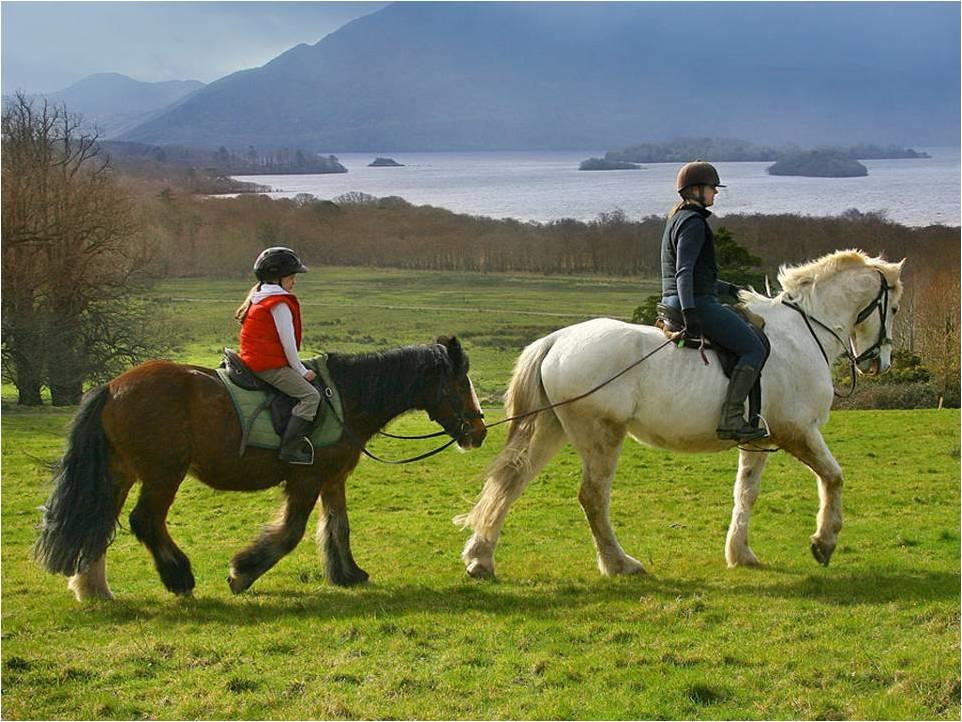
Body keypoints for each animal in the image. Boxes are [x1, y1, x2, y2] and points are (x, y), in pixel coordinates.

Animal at [33, 334, 484, 600]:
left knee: (98, 522)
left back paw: (93, 589)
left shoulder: (332, 478)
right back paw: (179, 578)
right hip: (163, 474)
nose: (478, 432)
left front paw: (347, 573)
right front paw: (242, 572)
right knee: (145, 521)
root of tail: (112, 387)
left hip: (120, 473)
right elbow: (290, 532)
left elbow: (338, 526)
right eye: (459, 384)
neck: (344, 398)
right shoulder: (306, 479)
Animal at [454, 250, 904, 576]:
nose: (878, 363)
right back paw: (619, 564)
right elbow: (833, 477)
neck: (803, 333)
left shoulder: (757, 440)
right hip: (601, 435)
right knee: (592, 497)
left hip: (551, 429)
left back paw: (481, 559)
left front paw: (740, 554)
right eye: (895, 309)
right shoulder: (797, 431)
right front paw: (824, 542)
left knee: (510, 483)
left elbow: (746, 493)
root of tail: (556, 341)